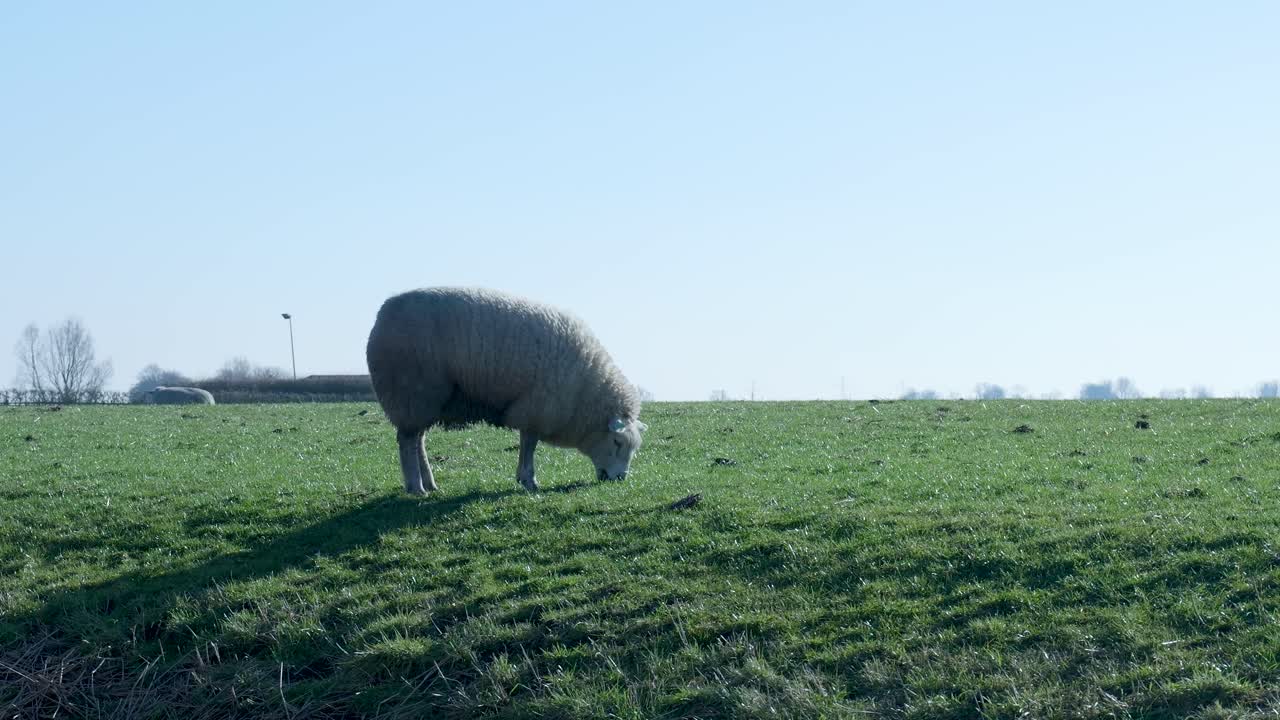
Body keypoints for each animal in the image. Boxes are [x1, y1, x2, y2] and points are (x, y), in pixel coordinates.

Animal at [366, 286, 647, 495]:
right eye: (617, 442)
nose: (620, 478)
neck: (585, 390)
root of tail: (381, 314)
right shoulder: (537, 407)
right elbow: (529, 444)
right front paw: (529, 480)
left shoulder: (534, 409)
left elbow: (526, 443)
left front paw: (524, 478)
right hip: (411, 393)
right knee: (407, 442)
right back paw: (416, 487)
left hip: (427, 401)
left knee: (417, 441)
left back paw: (430, 484)